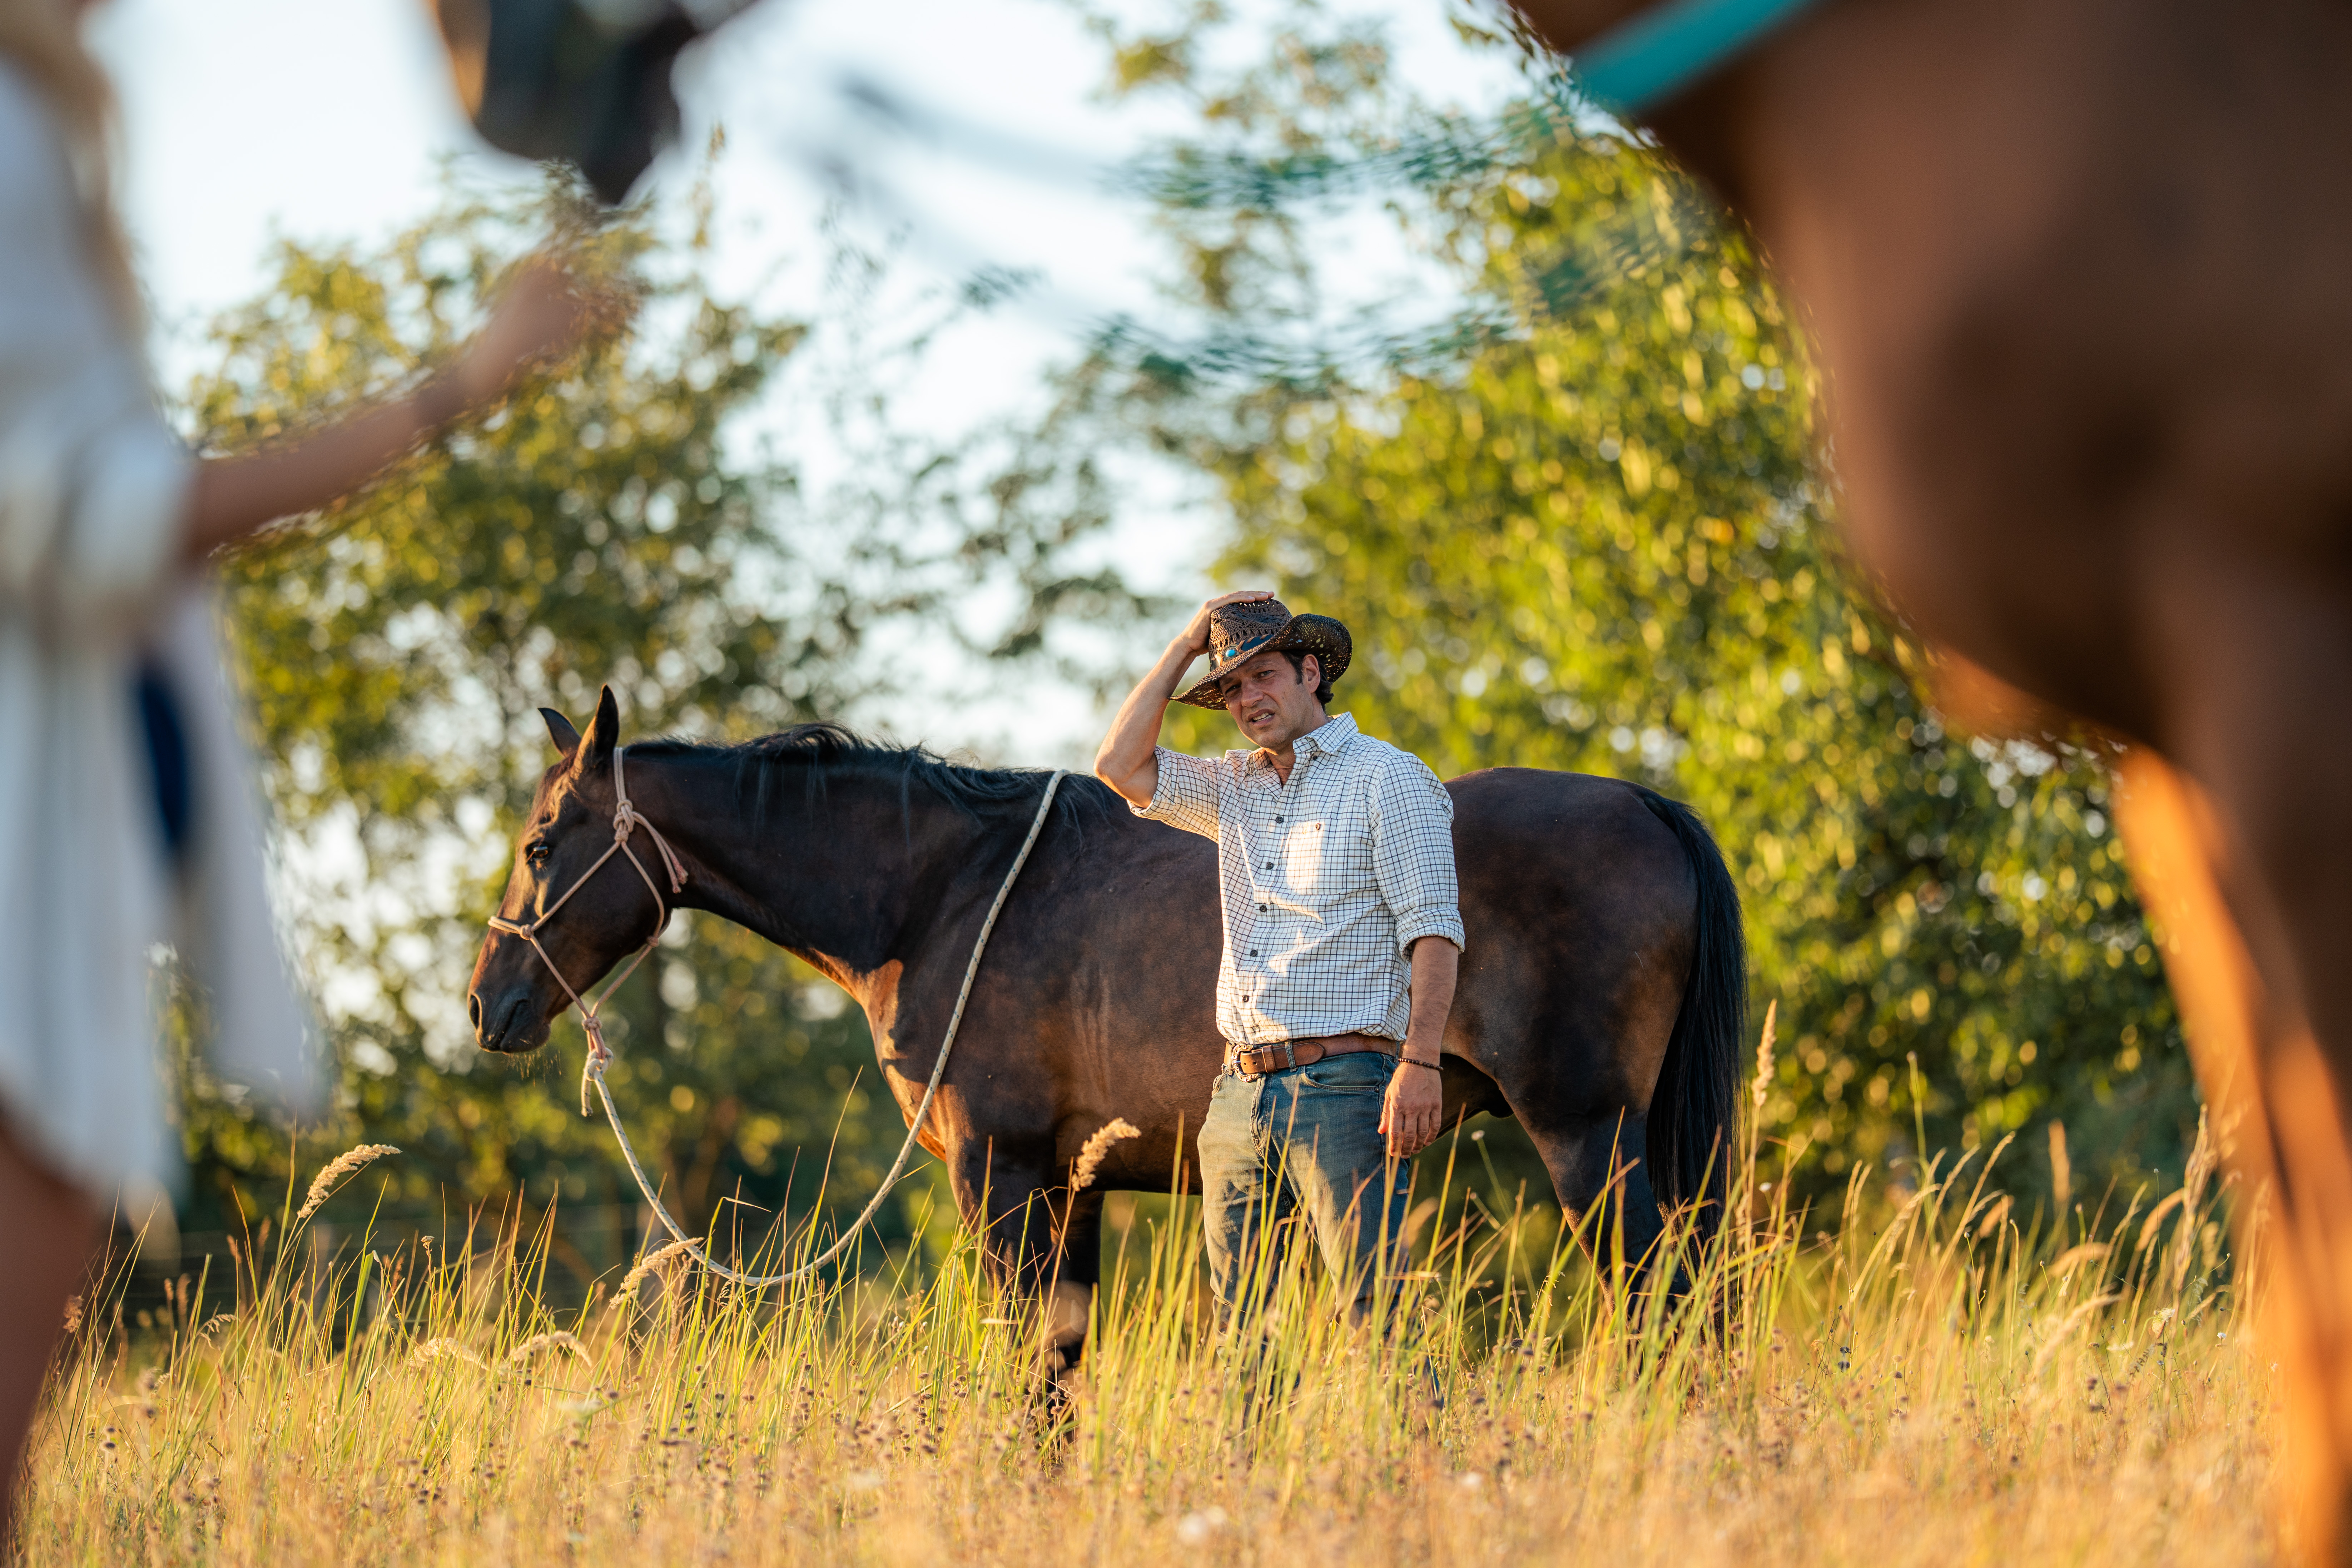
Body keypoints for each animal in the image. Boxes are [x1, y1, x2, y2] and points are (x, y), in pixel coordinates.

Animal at [465, 685, 1745, 1370]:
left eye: (540, 841)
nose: (487, 1001)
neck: (939, 892)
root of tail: (1645, 800)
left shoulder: (998, 1171)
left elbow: (1027, 1360)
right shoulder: (1068, 1182)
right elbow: (1063, 1368)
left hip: (1586, 1139)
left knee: (1667, 1308)